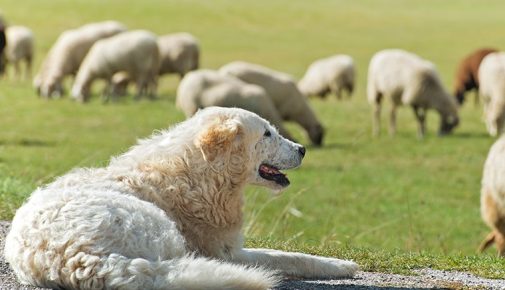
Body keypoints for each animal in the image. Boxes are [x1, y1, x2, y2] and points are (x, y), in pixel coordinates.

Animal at [4, 106, 358, 290]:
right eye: (268, 133)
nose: (303, 149)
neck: (202, 171)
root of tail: (78, 259)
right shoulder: (229, 252)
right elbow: (291, 256)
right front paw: (341, 265)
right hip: (163, 231)